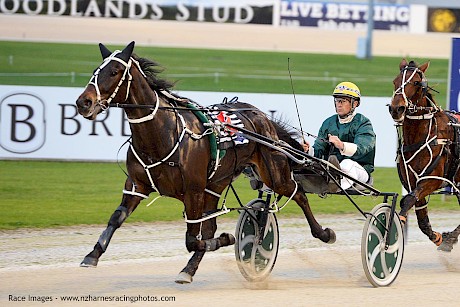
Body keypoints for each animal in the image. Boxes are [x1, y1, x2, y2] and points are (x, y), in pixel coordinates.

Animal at [74, 41, 334, 284]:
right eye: (96, 70)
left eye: (115, 71)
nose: (83, 102)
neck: (163, 133)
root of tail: (261, 116)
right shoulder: (137, 185)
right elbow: (116, 218)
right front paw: (92, 255)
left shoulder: (193, 190)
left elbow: (193, 240)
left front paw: (227, 239)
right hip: (217, 183)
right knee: (213, 225)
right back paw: (189, 269)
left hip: (274, 173)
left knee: (298, 193)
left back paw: (323, 233)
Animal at [388, 59, 460, 253]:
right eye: (395, 81)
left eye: (416, 83)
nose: (396, 108)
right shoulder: (413, 182)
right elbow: (421, 219)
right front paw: (439, 238)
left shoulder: (432, 180)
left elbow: (408, 200)